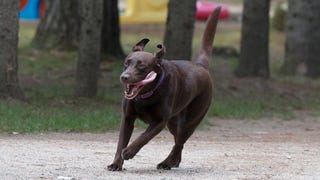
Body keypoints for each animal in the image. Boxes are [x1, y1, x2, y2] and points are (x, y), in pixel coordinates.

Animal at [107, 7, 220, 171]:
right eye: (126, 63)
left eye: (142, 66)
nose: (124, 77)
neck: (146, 95)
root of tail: (201, 65)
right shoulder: (127, 118)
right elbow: (121, 141)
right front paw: (116, 164)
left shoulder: (160, 121)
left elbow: (143, 137)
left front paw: (128, 152)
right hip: (173, 122)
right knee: (178, 142)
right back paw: (173, 162)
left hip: (191, 120)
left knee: (180, 141)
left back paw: (167, 162)